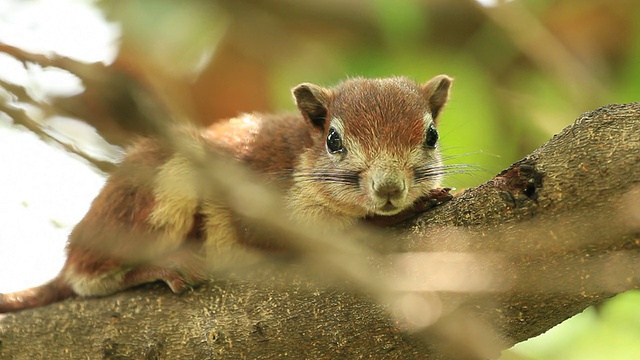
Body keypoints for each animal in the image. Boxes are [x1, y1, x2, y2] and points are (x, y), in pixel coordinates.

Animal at [0, 75, 452, 312]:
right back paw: (160, 267)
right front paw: (399, 212)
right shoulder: (264, 206)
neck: (298, 155)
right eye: (333, 140)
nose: (390, 189)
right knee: (85, 277)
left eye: (432, 135)